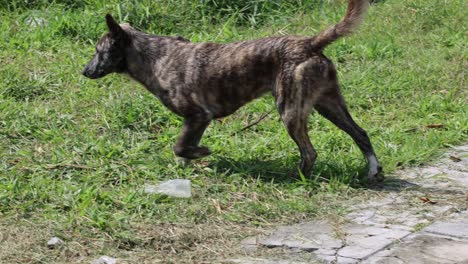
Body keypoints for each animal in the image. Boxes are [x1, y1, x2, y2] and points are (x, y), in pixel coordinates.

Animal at [84, 0, 384, 182]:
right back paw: (373, 171)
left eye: (99, 51)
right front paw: (186, 163)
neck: (154, 57)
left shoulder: (198, 115)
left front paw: (200, 153)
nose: (84, 72)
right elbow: (183, 147)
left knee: (310, 152)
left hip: (290, 111)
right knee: (361, 134)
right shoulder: (197, 121)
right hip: (328, 105)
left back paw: (296, 178)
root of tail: (310, 43)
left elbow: (180, 145)